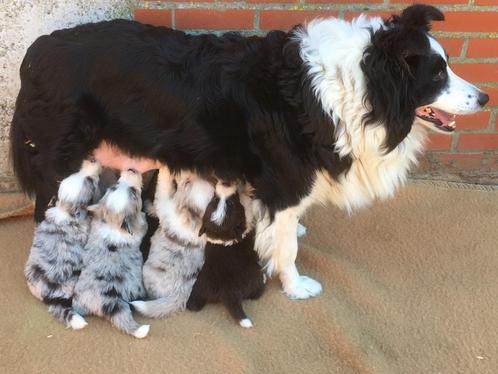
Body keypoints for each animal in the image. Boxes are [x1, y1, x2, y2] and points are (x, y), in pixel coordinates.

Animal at [11, 4, 490, 300]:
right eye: (438, 74)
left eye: (448, 66)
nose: (485, 97)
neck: (359, 87)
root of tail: (37, 50)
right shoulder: (285, 182)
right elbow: (286, 246)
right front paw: (296, 287)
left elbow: (279, 227)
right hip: (62, 161)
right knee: (48, 213)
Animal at [72, 169, 149, 338]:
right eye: (134, 193)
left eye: (115, 185)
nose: (132, 169)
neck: (113, 224)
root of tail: (105, 303)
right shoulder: (139, 228)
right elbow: (143, 221)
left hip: (79, 297)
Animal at [187, 183, 264, 328]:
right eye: (232, 202)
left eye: (214, 200)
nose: (225, 183)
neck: (222, 237)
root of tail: (227, 293)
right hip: (255, 278)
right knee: (256, 293)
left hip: (199, 287)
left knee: (193, 305)